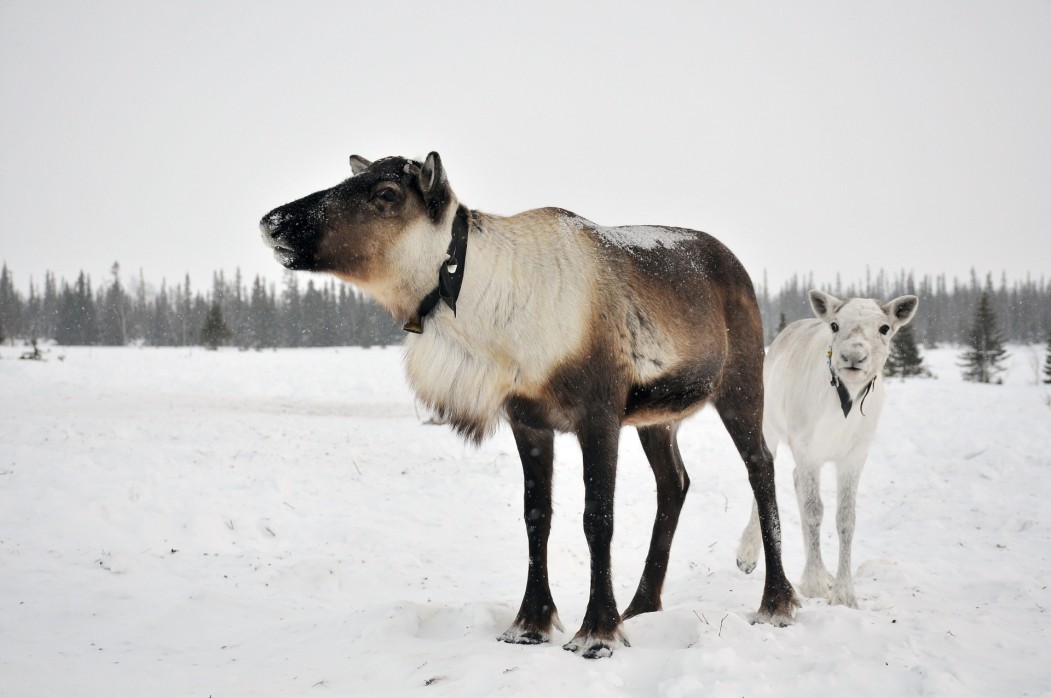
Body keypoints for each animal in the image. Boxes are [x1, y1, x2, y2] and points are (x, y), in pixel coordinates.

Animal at [735, 288, 916, 605]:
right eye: (835, 325)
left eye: (884, 328)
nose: (853, 356)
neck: (846, 400)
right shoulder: (807, 448)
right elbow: (813, 512)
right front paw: (815, 582)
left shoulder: (853, 457)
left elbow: (846, 519)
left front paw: (843, 592)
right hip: (770, 428)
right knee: (764, 479)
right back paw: (748, 553)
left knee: (795, 480)